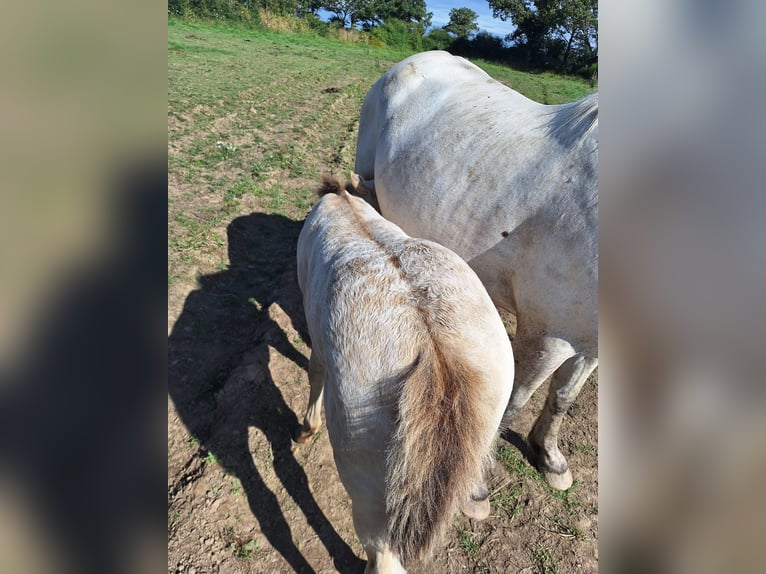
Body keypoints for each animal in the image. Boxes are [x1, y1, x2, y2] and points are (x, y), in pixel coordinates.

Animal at [296, 178, 516, 572]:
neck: (348, 206)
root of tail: (434, 350)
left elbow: (314, 374)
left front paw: (307, 428)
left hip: (371, 496)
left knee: (384, 558)